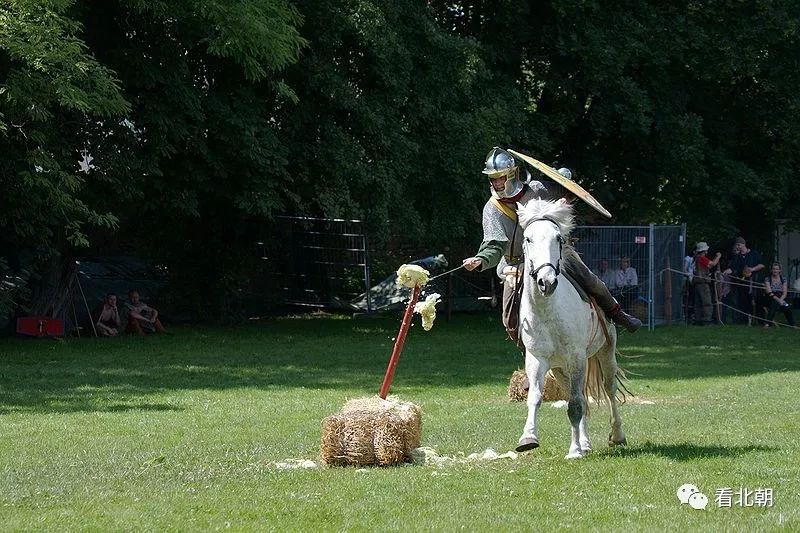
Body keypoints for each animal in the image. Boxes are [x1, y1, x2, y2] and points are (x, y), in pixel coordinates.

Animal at [516, 198, 628, 458]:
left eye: (558, 238)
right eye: (528, 238)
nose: (546, 282)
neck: (548, 312)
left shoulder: (576, 357)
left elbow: (575, 404)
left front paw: (574, 450)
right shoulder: (536, 359)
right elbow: (535, 397)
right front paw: (528, 437)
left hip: (605, 352)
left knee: (608, 390)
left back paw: (616, 435)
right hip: (560, 369)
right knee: (581, 397)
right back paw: (585, 443)